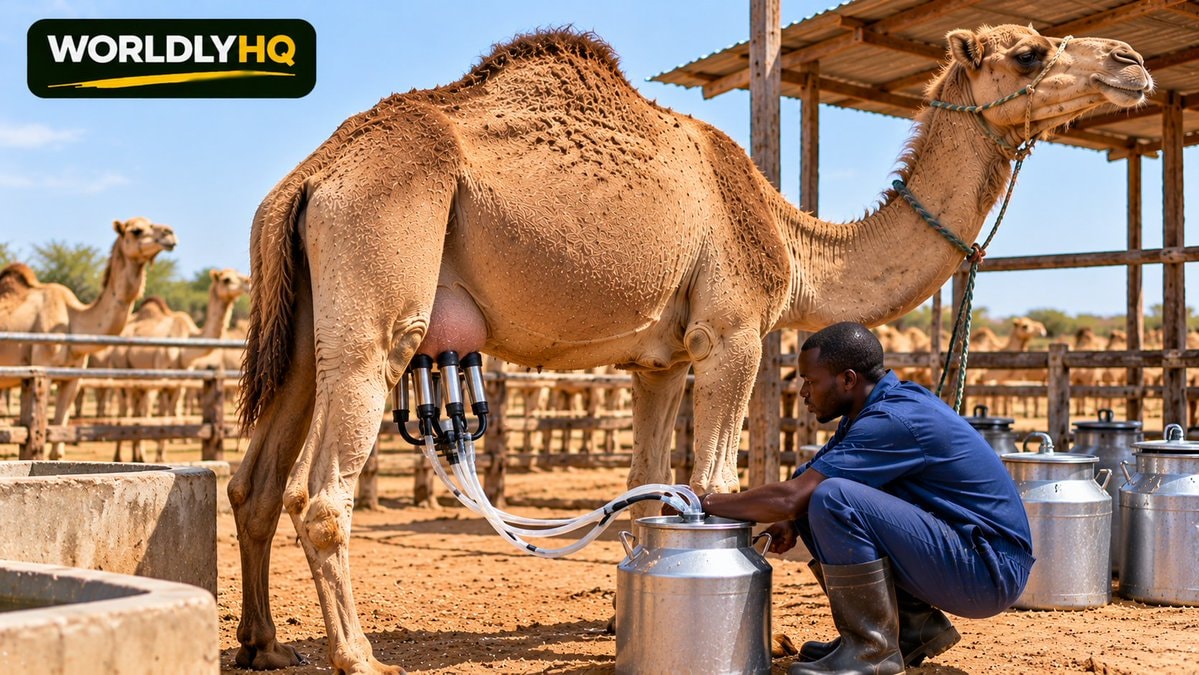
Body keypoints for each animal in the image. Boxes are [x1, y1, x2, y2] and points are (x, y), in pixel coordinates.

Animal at [0, 218, 177, 459]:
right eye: (136, 230)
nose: (170, 234)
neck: (73, 321)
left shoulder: (73, 378)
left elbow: (59, 442)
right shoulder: (42, 369)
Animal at [112, 268, 250, 462]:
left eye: (239, 274)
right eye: (226, 279)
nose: (247, 282)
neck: (186, 345)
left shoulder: (180, 383)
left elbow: (170, 414)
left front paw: (161, 456)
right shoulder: (160, 376)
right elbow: (156, 415)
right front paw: (153, 456)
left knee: (135, 411)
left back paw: (134, 454)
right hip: (121, 371)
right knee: (126, 410)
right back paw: (124, 455)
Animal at [226, 27, 1151, 672]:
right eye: (1029, 51)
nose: (1131, 62)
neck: (789, 238)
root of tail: (306, 179)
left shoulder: (659, 359)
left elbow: (642, 487)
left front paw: (620, 619)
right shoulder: (731, 331)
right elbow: (711, 478)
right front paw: (759, 636)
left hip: (302, 326)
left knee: (254, 482)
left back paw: (265, 644)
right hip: (376, 306)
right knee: (322, 494)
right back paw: (358, 655)